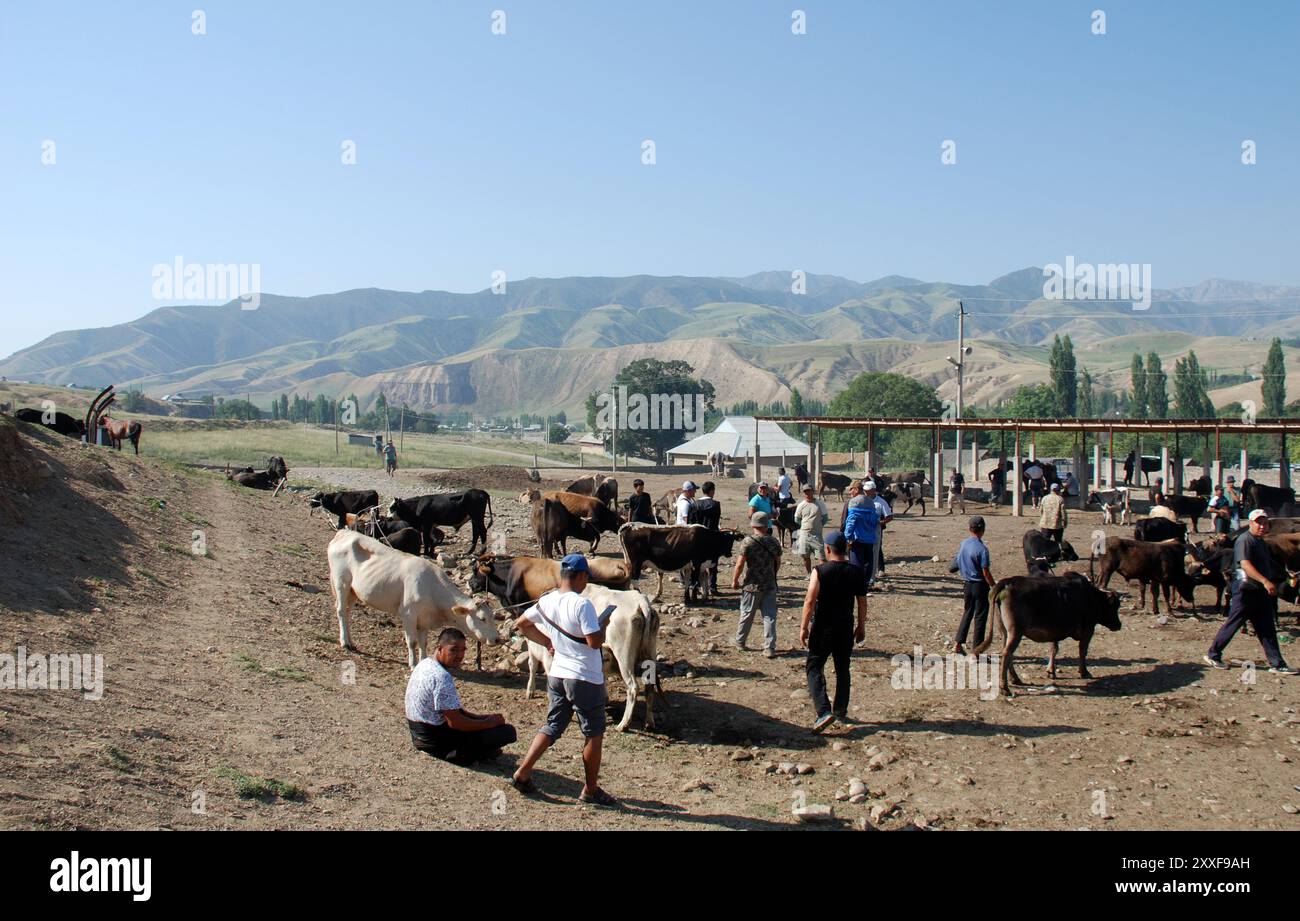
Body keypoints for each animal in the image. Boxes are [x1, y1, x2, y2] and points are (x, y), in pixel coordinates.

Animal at [327, 528, 499, 666]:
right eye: (482, 618)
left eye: (493, 617)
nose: (498, 639)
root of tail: (344, 533)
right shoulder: (408, 614)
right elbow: (412, 641)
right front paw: (413, 663)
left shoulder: (424, 619)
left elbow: (423, 642)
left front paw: (422, 661)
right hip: (341, 583)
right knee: (341, 610)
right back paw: (344, 642)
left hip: (353, 591)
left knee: (347, 612)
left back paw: (350, 641)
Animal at [520, 585, 660, 728]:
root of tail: (641, 602)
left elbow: (533, 667)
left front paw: (530, 691)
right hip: (650, 652)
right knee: (650, 687)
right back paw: (649, 722)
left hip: (624, 657)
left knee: (633, 688)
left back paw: (623, 724)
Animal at [972, 572, 1123, 692]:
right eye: (1115, 606)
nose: (1119, 625)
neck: (1092, 598)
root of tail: (1008, 582)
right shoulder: (1088, 629)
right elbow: (1082, 651)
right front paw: (1084, 672)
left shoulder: (1055, 631)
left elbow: (1053, 649)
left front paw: (1051, 671)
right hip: (1016, 632)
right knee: (1006, 653)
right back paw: (1005, 688)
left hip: (1005, 631)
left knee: (1007, 652)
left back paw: (1016, 679)